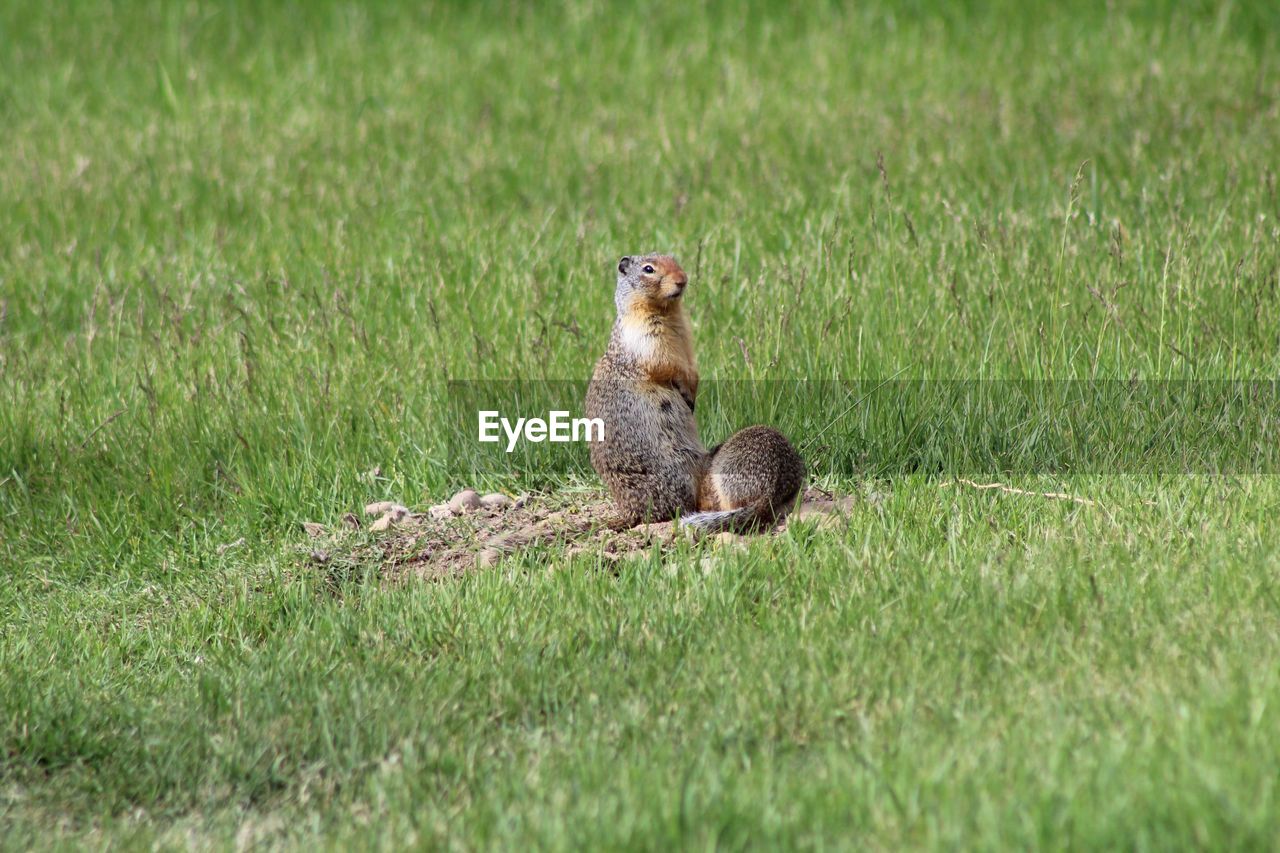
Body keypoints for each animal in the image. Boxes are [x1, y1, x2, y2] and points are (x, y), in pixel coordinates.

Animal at [586, 252, 803, 532]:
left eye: (674, 259)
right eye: (648, 269)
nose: (683, 279)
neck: (668, 313)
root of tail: (631, 513)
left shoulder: (686, 338)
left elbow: (691, 364)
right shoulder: (644, 336)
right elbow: (664, 363)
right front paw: (685, 391)